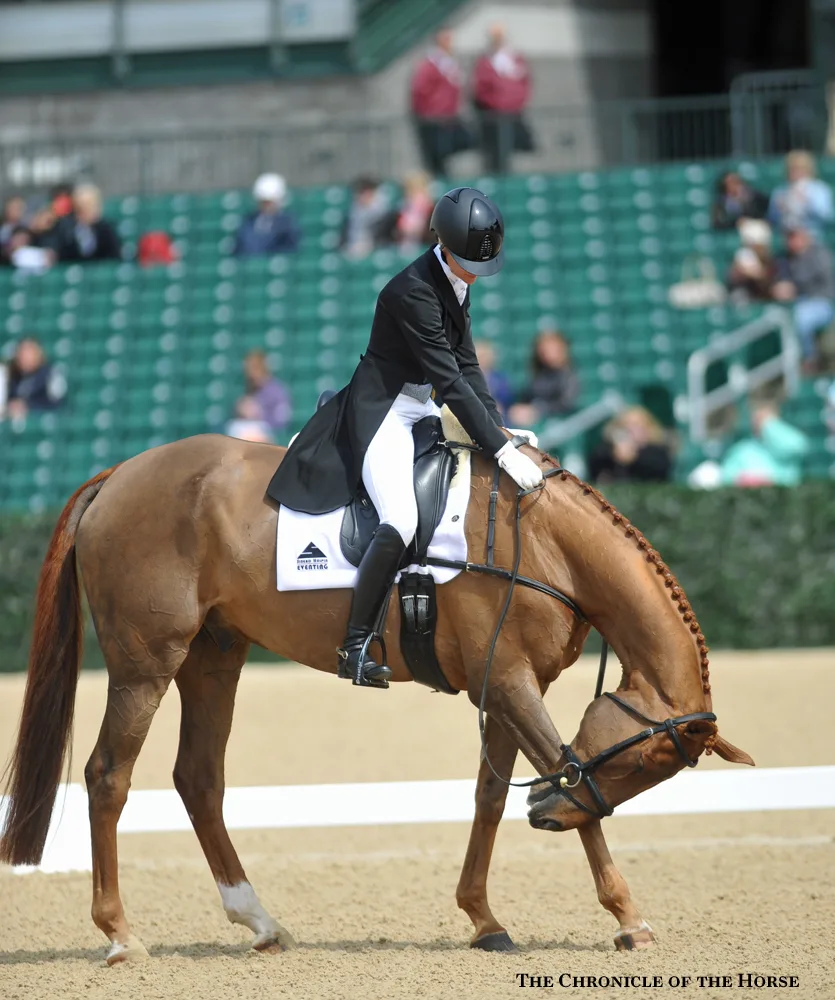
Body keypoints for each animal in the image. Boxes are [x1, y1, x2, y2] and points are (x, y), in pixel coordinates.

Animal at [0, 430, 756, 960]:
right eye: (643, 761)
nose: (545, 819)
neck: (542, 540)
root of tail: (120, 473)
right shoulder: (511, 682)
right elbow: (568, 771)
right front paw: (628, 918)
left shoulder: (508, 683)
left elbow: (490, 794)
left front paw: (483, 919)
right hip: (147, 664)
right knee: (109, 776)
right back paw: (121, 935)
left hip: (213, 658)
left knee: (199, 778)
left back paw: (259, 921)